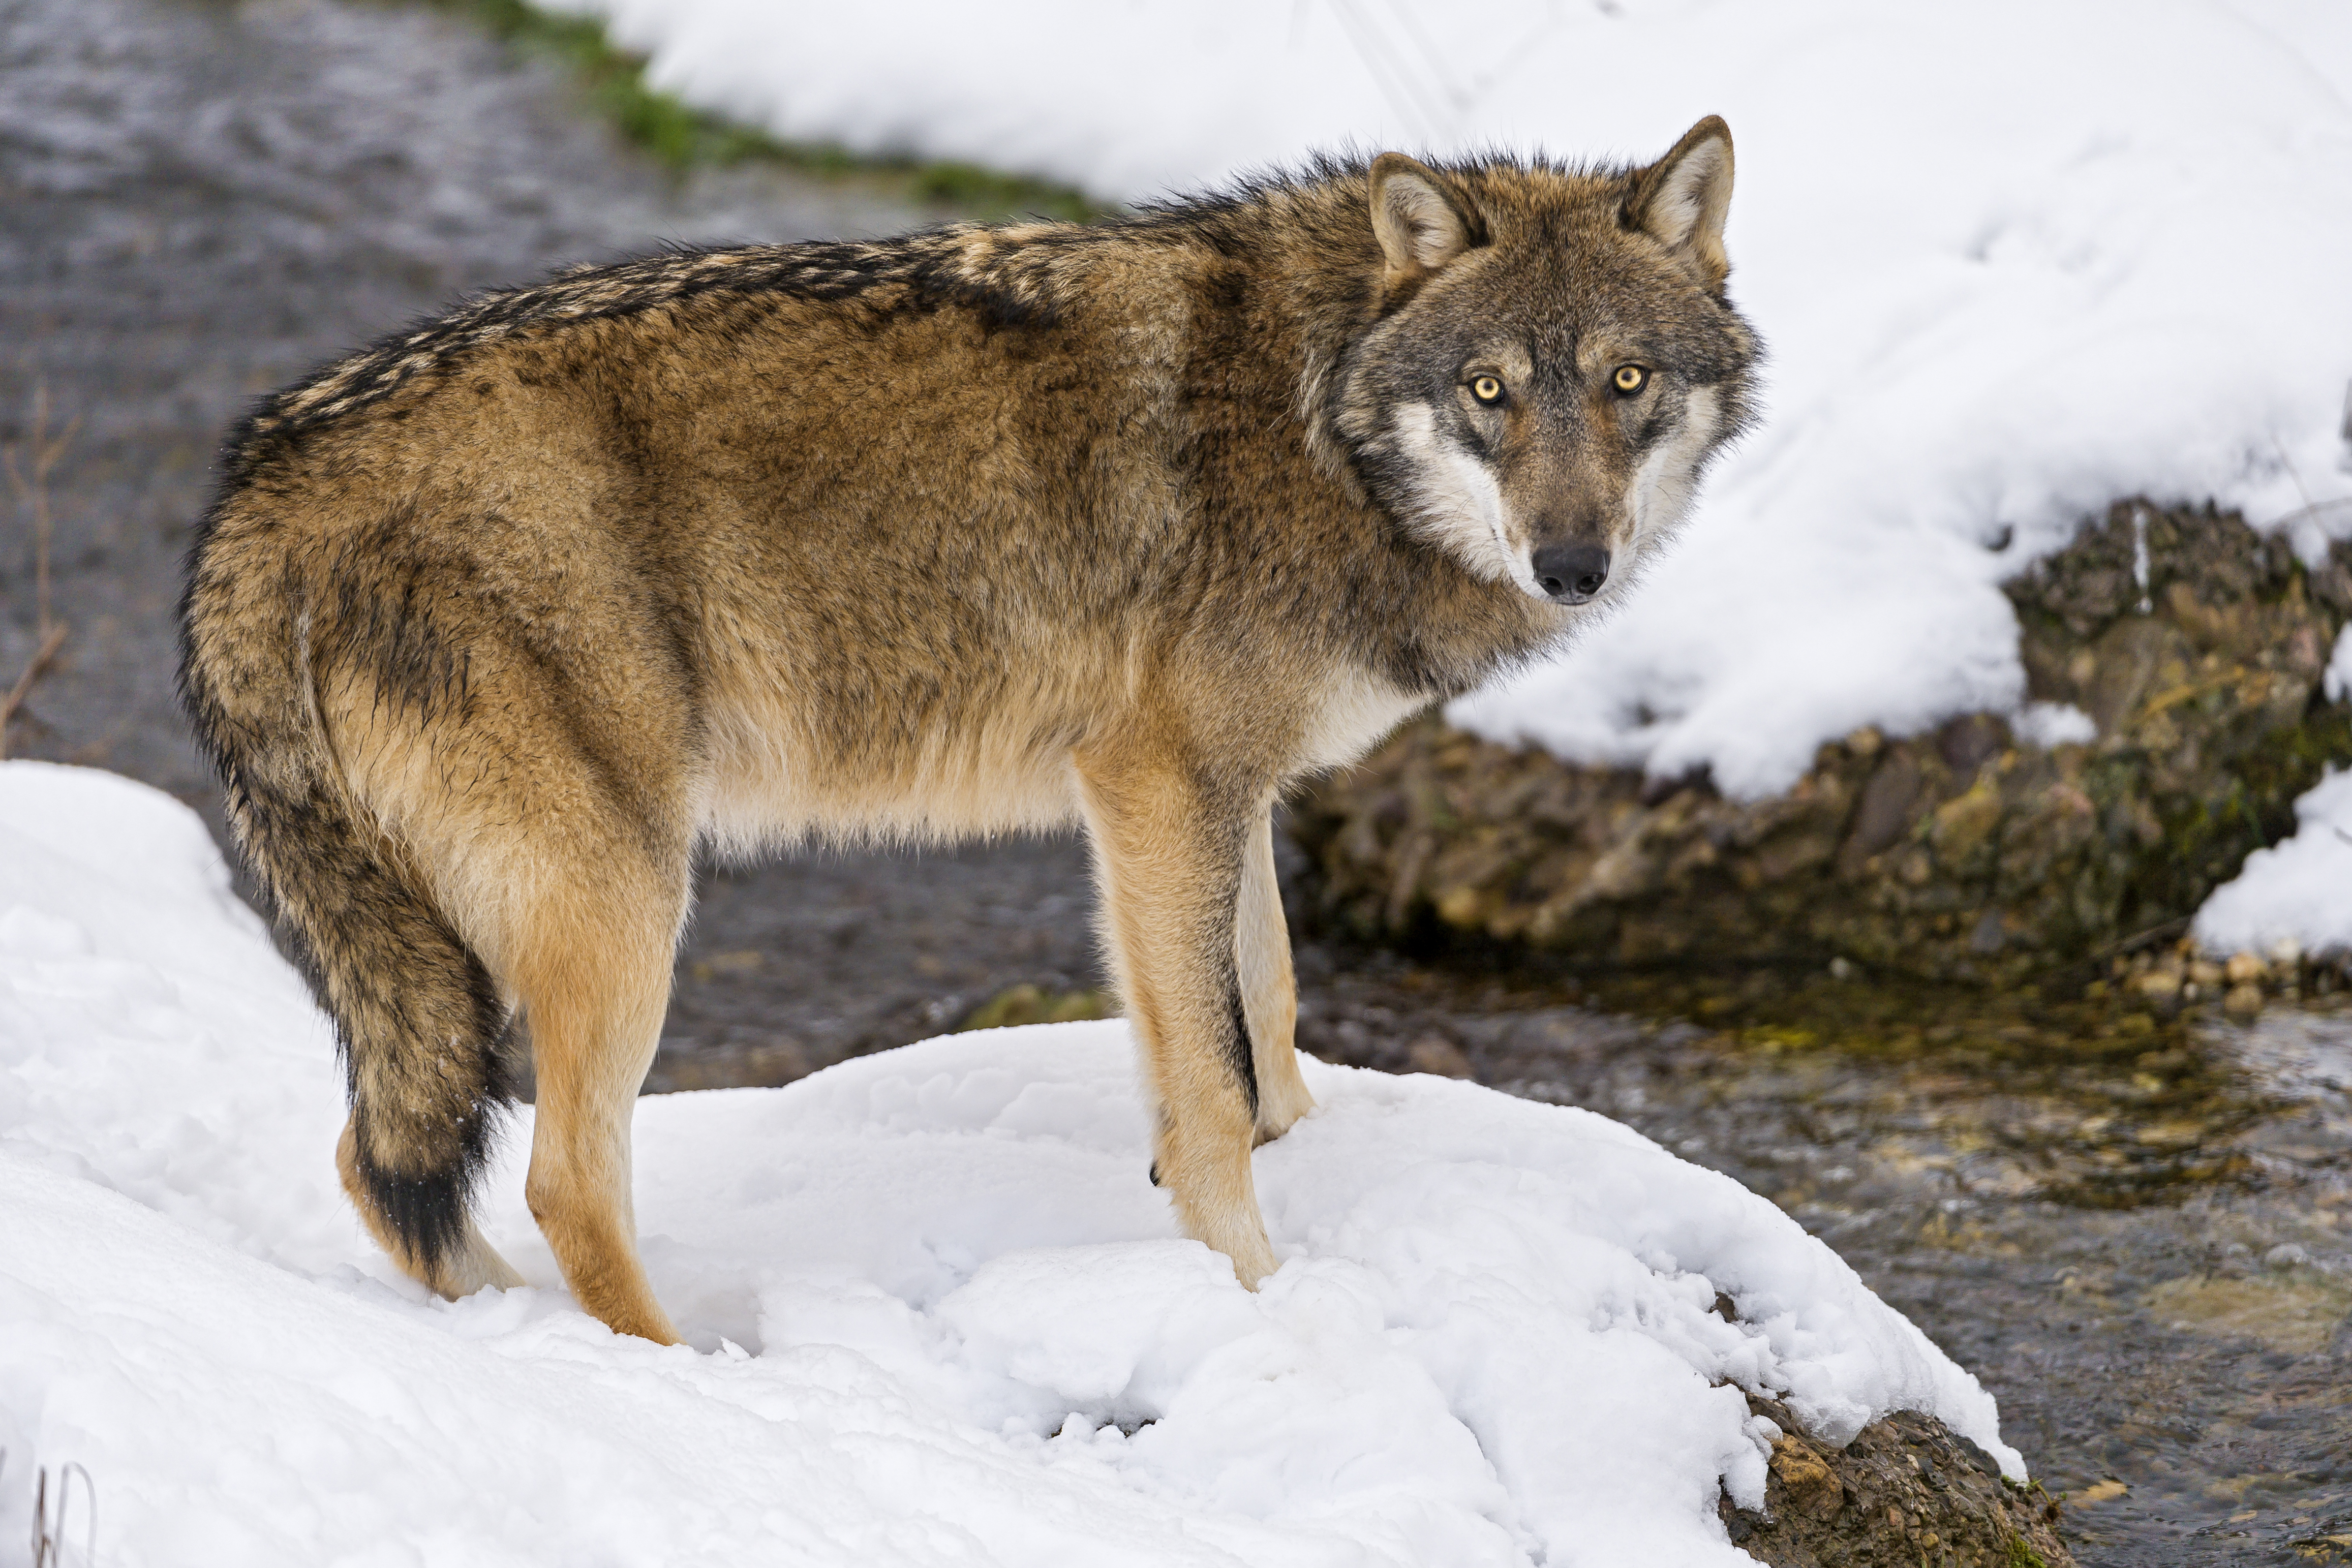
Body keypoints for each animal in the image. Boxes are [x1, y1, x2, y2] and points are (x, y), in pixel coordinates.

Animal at [183, 122, 1759, 1354]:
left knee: (380, 1164)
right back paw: (694, 1377)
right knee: (560, 1177)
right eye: (1490, 390)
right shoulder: (1153, 784)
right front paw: (1258, 1297)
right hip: (623, 897)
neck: (1320, 418)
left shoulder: (1228, 796)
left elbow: (1271, 1014)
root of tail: (264, 475)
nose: (1572, 563)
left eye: (1624, 382)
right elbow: (1208, 1080)